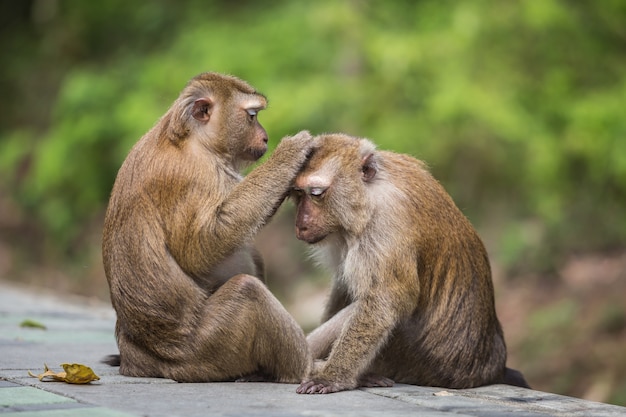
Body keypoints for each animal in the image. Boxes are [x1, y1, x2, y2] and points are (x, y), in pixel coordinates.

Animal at [103, 72, 316, 384]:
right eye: (252, 116)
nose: (265, 137)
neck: (192, 140)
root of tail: (144, 361)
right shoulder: (189, 176)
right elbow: (200, 248)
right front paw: (289, 155)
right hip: (208, 349)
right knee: (247, 291)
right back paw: (309, 370)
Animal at [292, 132, 528, 394]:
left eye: (316, 193)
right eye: (297, 194)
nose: (300, 223)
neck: (371, 194)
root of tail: (490, 368)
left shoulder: (385, 224)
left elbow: (382, 304)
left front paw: (332, 376)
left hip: (414, 361)